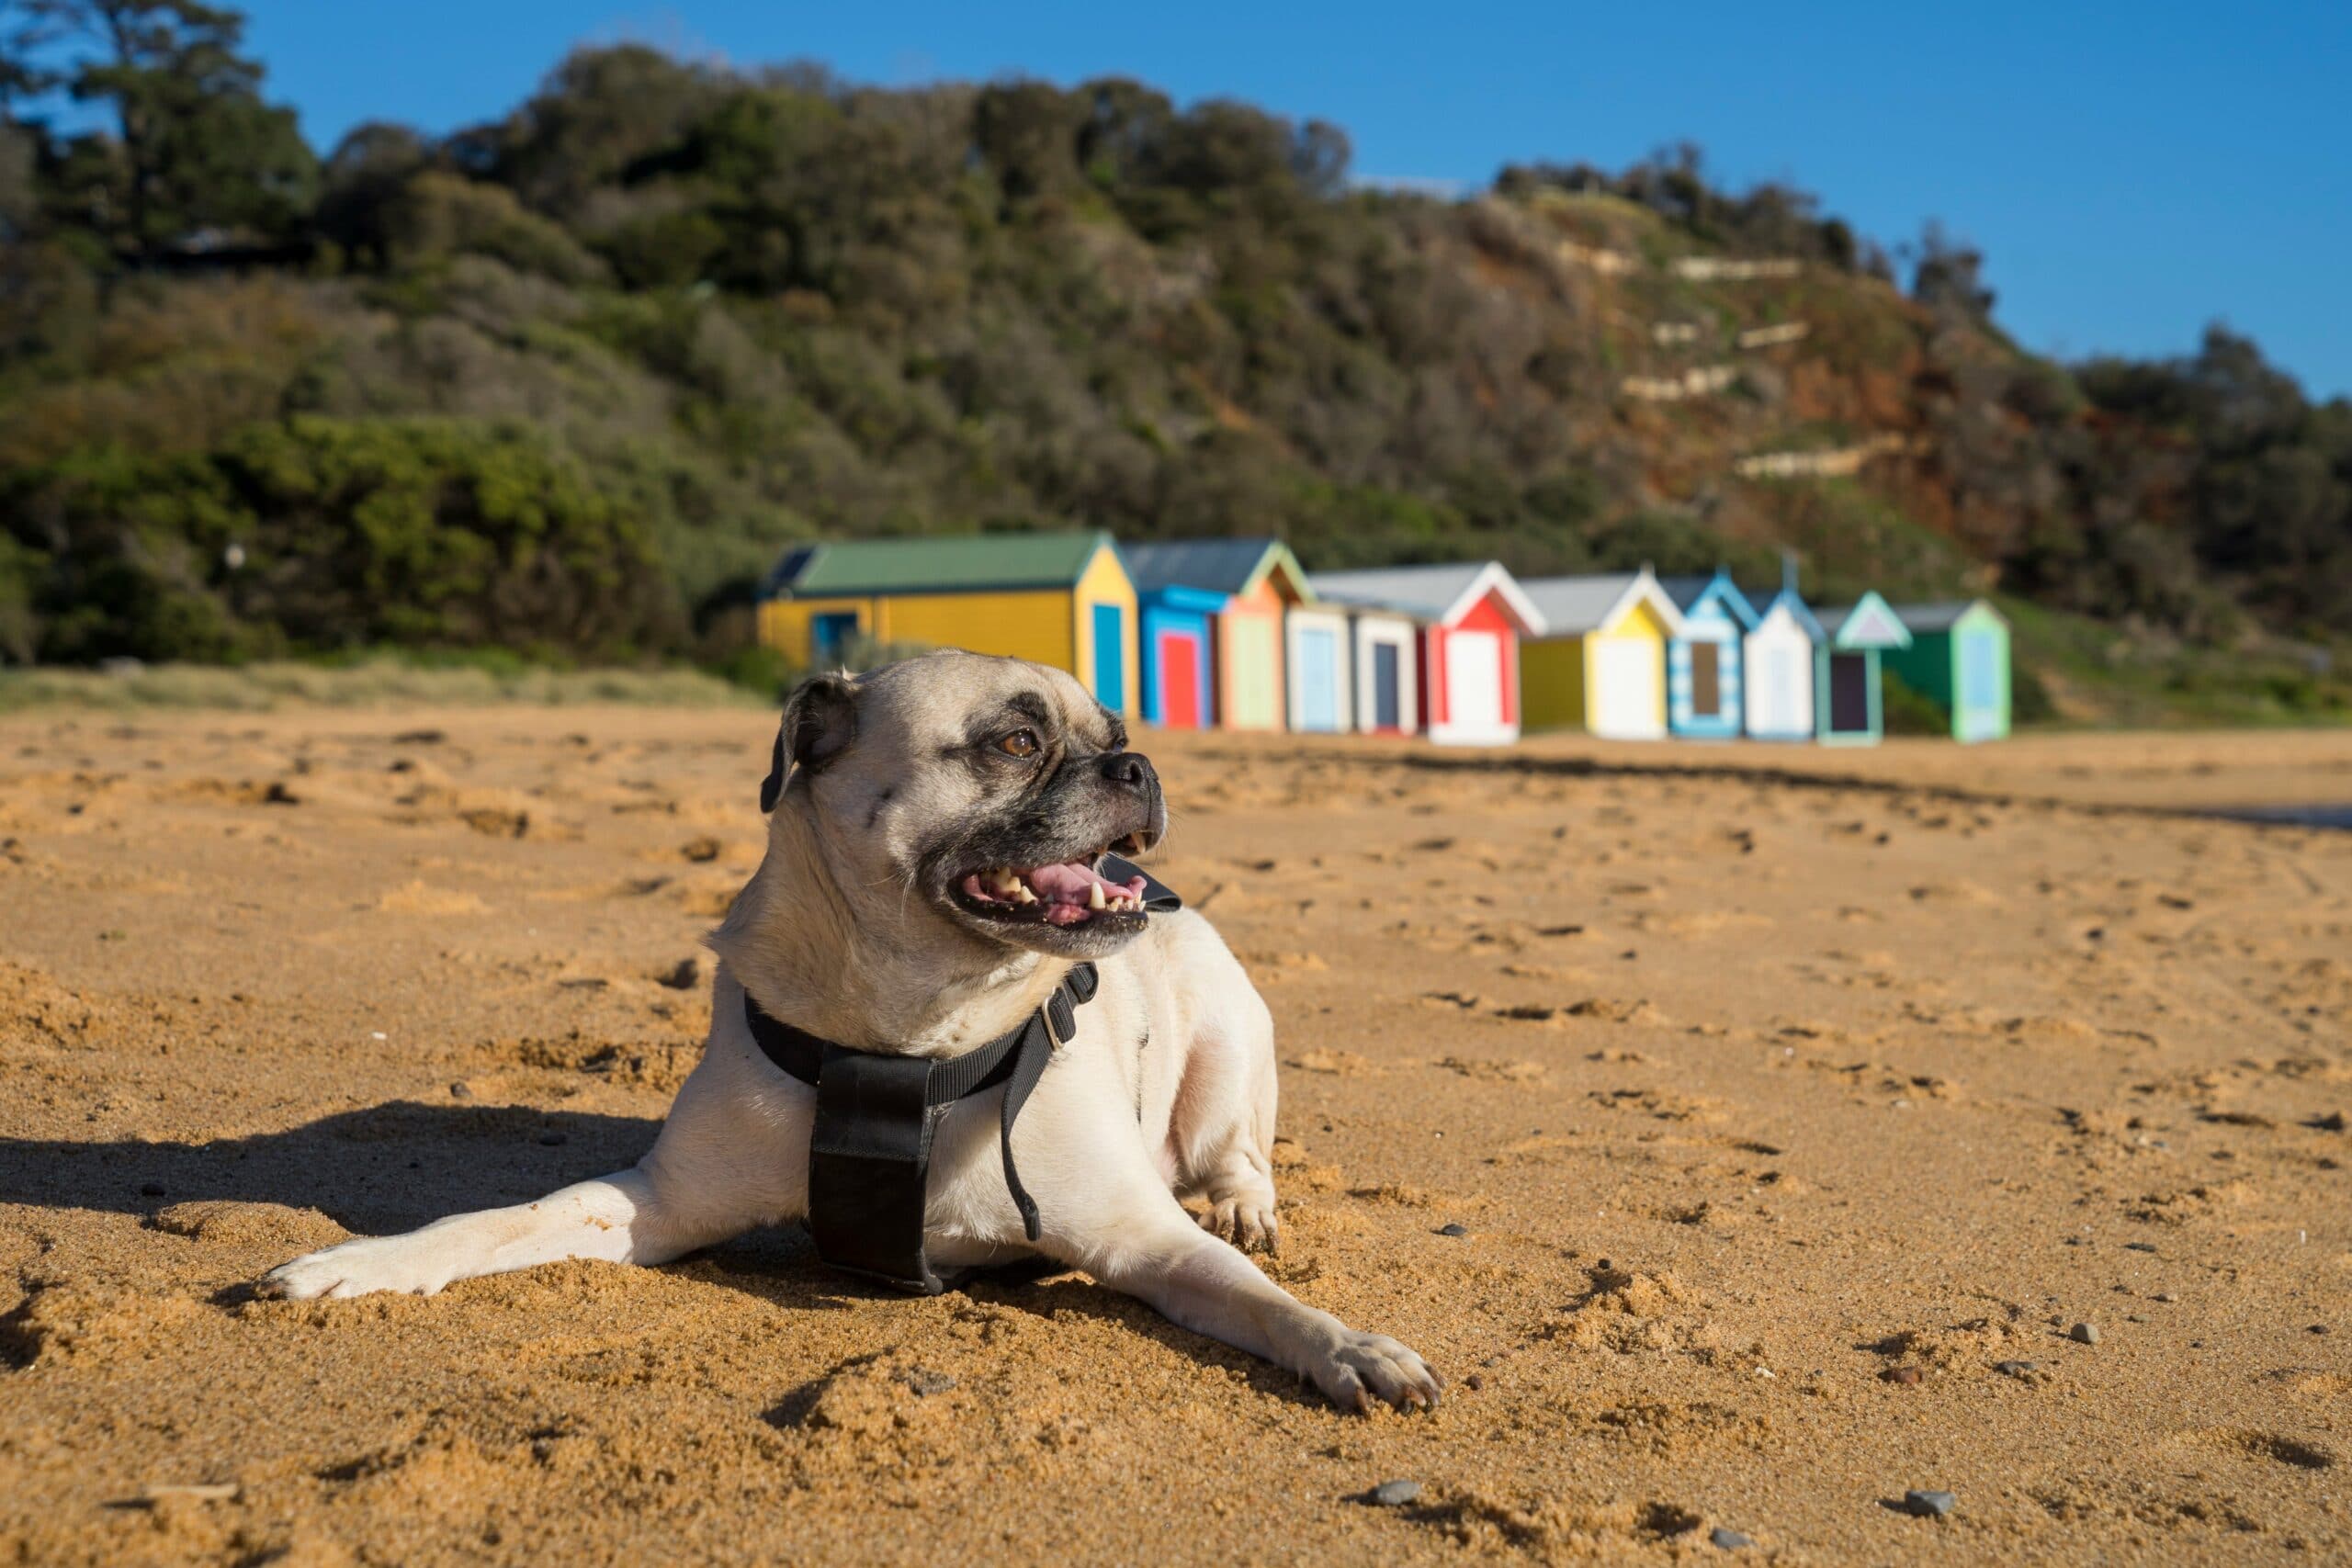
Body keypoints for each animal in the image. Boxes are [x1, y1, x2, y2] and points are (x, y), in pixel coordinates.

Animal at [266, 649, 1439, 1410]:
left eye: (1118, 740)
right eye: (1017, 742)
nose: (1139, 768)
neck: (910, 1041)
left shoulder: (1142, 1239)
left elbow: (1263, 1303)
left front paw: (1350, 1347)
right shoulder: (650, 1206)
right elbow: (500, 1220)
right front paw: (365, 1264)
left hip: (1227, 1056)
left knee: (1238, 1158)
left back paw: (1246, 1208)